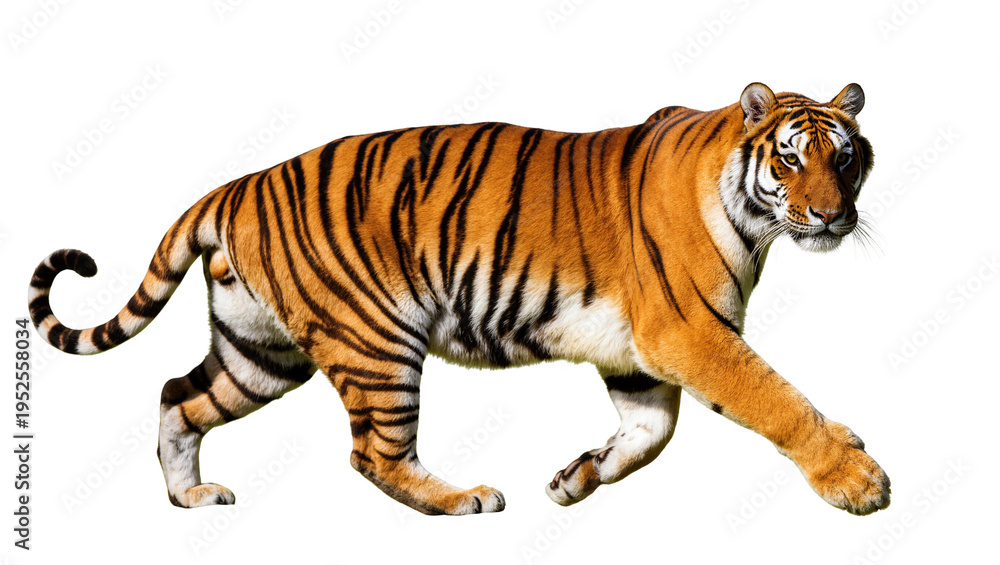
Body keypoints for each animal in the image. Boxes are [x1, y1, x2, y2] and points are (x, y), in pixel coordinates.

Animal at [28, 82, 889, 516]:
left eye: (846, 159)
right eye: (792, 159)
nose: (832, 215)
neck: (752, 215)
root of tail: (238, 185)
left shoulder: (639, 352)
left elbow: (651, 433)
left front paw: (575, 478)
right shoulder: (687, 332)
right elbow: (776, 398)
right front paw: (857, 480)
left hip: (260, 352)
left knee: (177, 393)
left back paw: (191, 496)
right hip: (376, 342)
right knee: (373, 453)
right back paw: (463, 497)